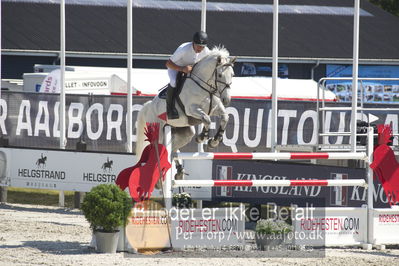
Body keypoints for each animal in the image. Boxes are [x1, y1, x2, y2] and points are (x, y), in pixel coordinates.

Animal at [137, 46, 236, 177]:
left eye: (232, 75)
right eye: (219, 75)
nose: (226, 100)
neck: (205, 88)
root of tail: (149, 106)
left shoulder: (216, 109)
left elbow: (225, 117)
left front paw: (214, 141)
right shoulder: (192, 109)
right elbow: (207, 119)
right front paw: (202, 138)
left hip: (184, 132)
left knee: (172, 149)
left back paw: (179, 171)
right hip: (159, 133)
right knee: (158, 150)